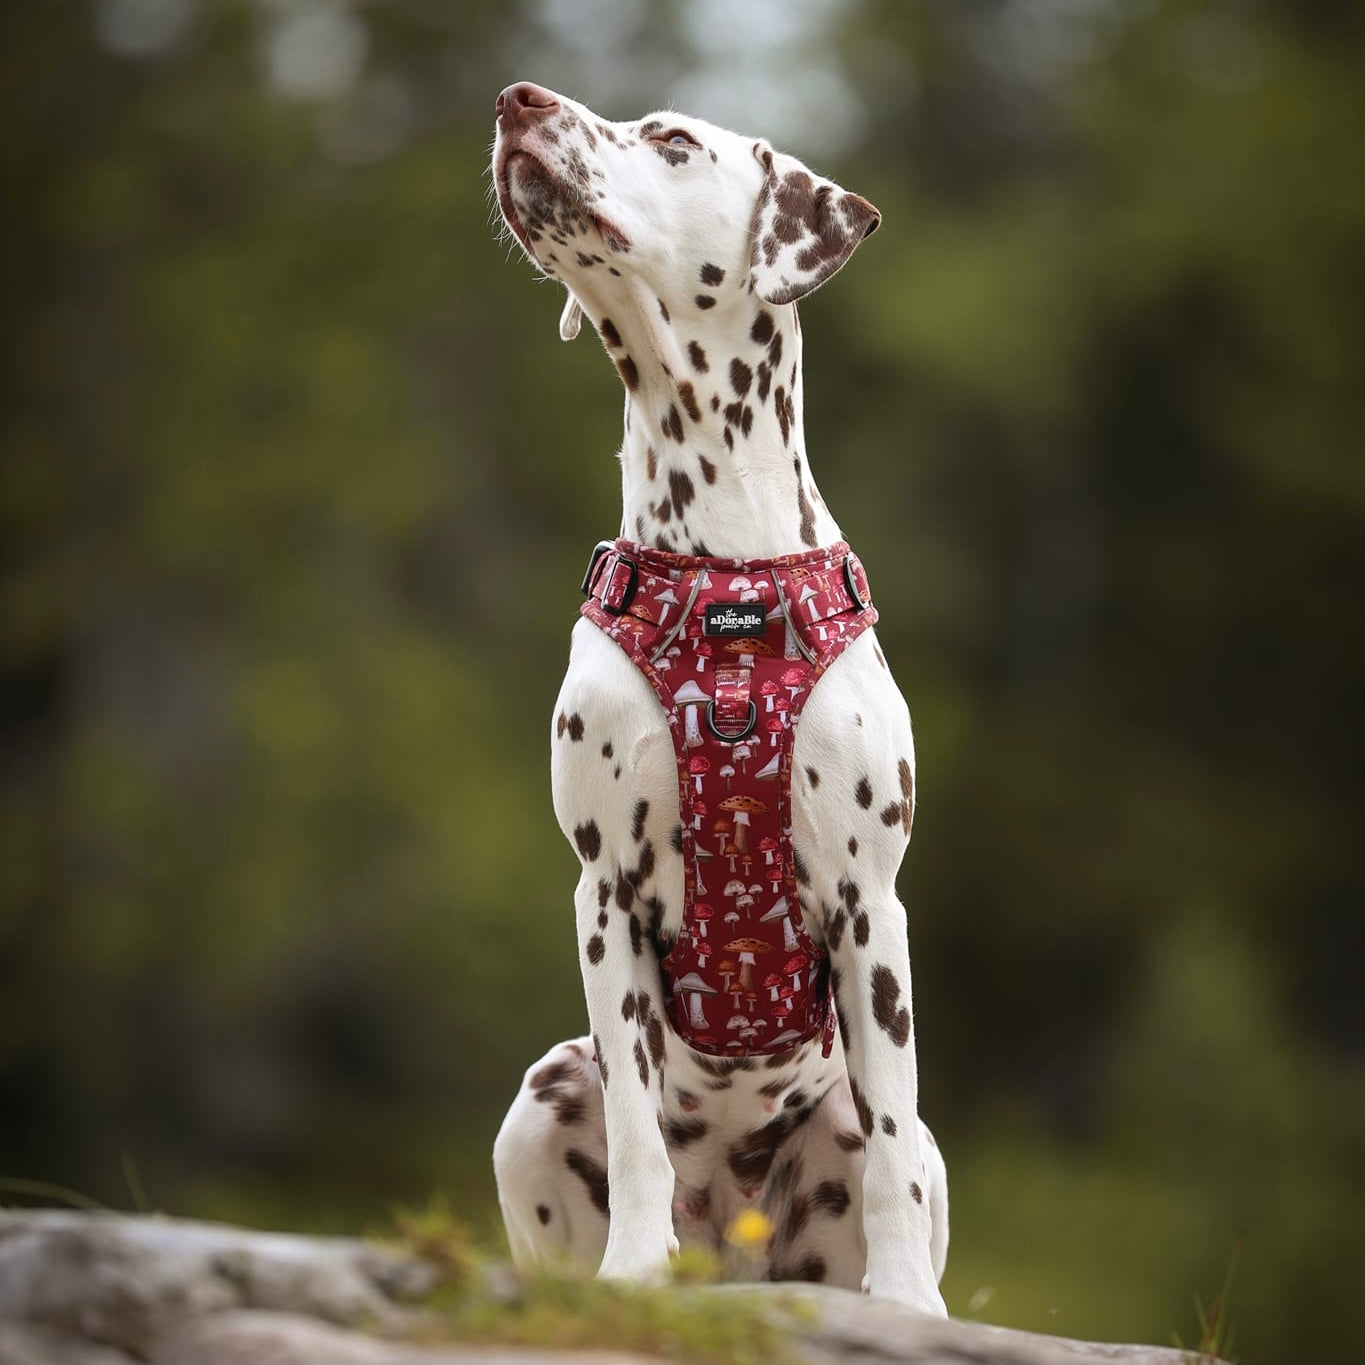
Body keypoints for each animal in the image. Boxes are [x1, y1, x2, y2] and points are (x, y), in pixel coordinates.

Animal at [491, 79, 950, 1315]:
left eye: (672, 142)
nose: (517, 100)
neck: (728, 581)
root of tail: (733, 1249)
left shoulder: (870, 905)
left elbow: (891, 1152)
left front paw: (906, 1303)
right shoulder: (604, 895)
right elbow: (639, 1129)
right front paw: (632, 1266)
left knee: (895, 1147)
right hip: (541, 1092)